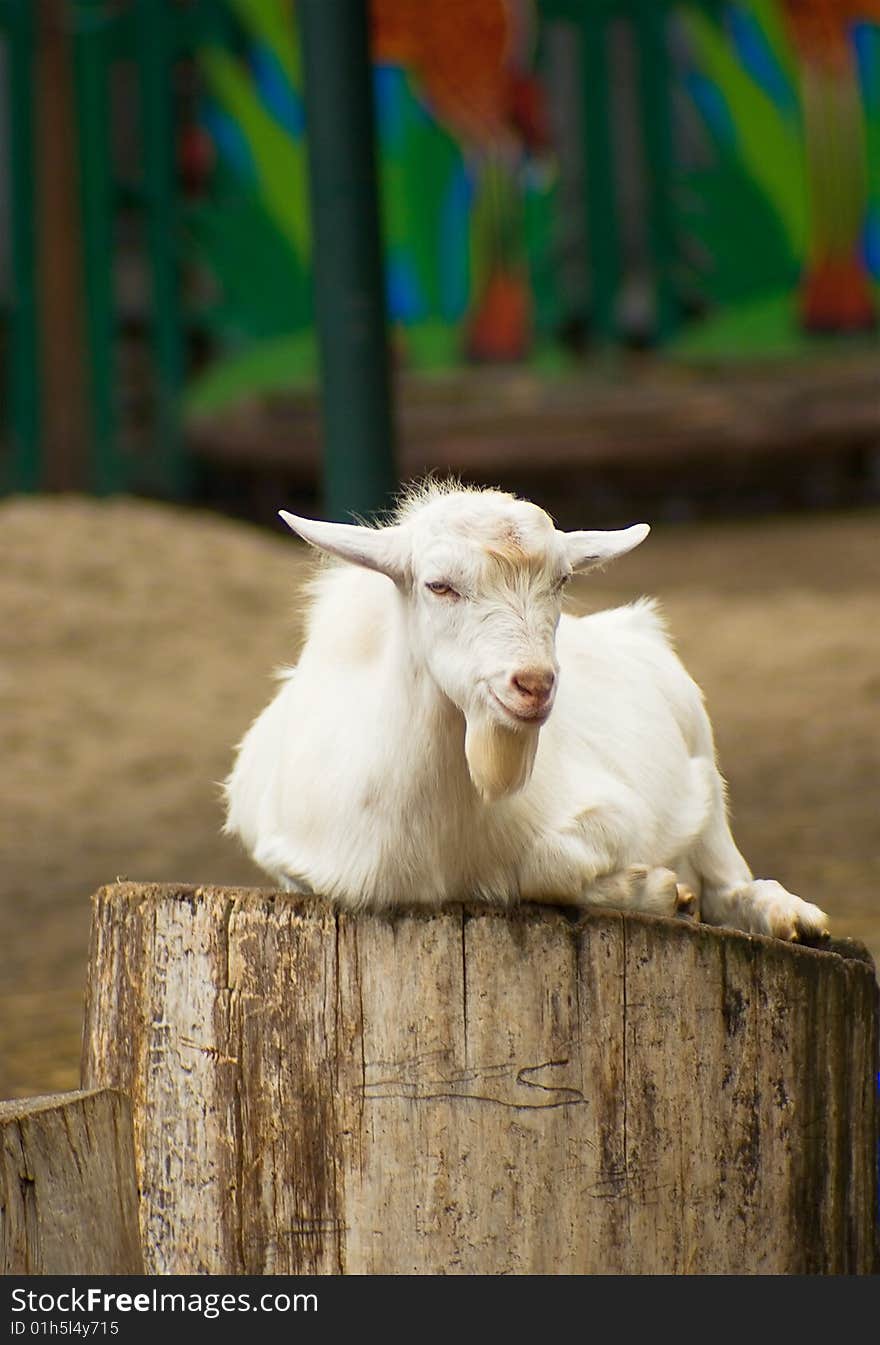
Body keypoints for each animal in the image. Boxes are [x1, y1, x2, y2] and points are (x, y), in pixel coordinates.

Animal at [224, 478, 828, 941]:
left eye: (561, 580)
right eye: (438, 585)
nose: (534, 684)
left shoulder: (617, 810)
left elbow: (547, 862)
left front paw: (655, 890)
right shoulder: (286, 853)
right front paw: (659, 891)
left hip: (702, 757)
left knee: (728, 879)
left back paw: (792, 916)